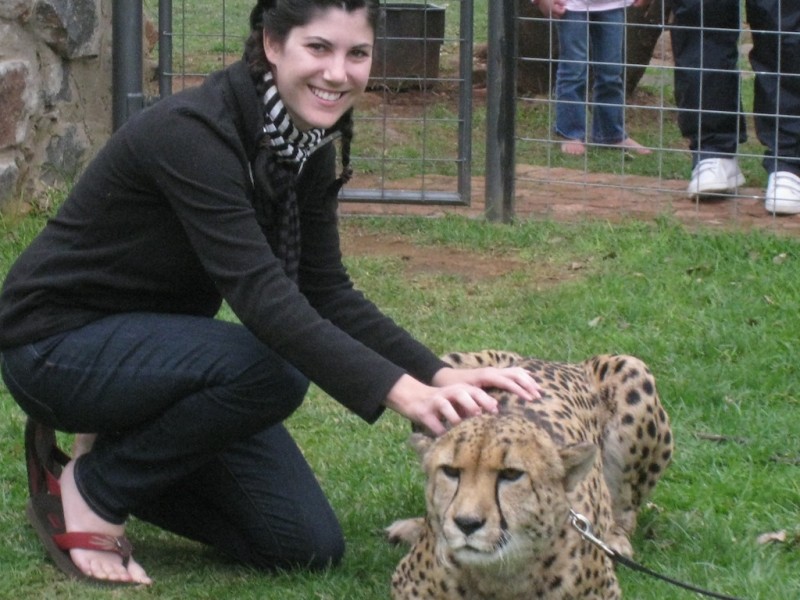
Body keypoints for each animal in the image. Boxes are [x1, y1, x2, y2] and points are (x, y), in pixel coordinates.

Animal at [387, 350, 673, 600]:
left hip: (633, 371)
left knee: (626, 507)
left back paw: (616, 539)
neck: (500, 576)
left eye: (512, 474)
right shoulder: (406, 584)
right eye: (450, 471)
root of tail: (557, 361)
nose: (467, 524)